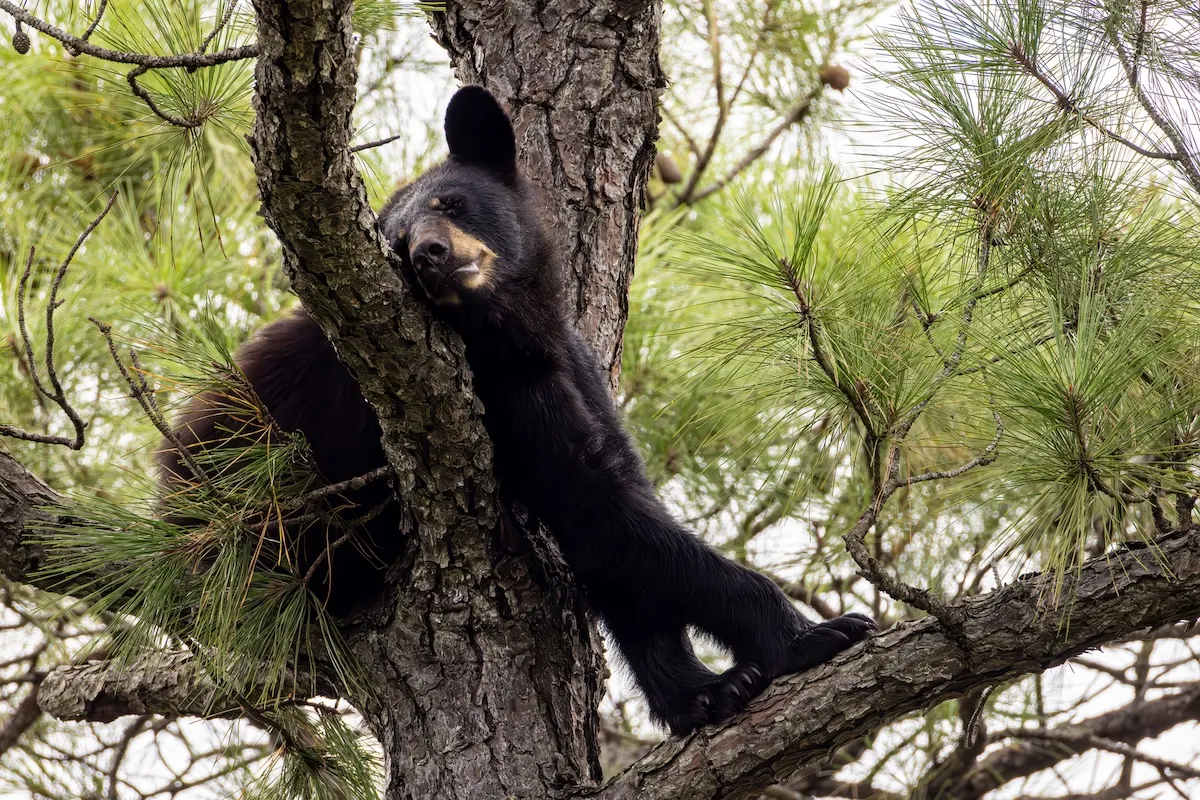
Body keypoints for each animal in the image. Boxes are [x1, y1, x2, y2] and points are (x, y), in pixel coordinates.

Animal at [159, 85, 875, 736]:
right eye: (395, 244)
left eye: (452, 203)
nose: (429, 255)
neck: (514, 332)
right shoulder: (499, 395)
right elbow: (598, 512)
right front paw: (814, 635)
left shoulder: (573, 368)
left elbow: (614, 523)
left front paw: (703, 692)